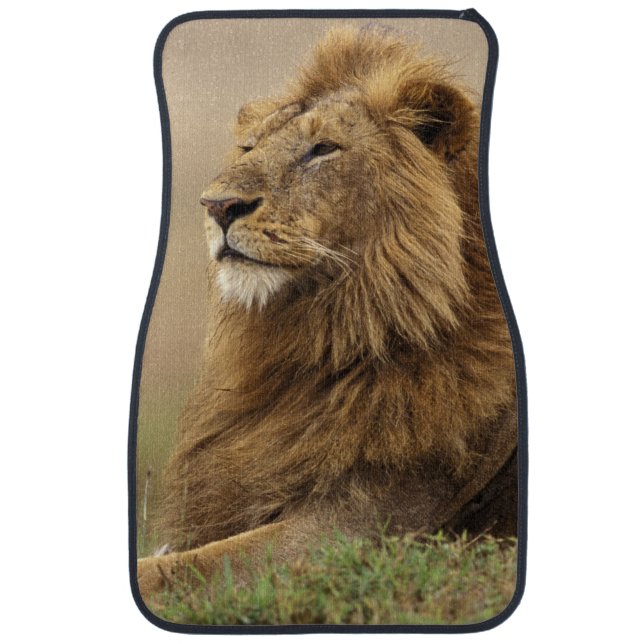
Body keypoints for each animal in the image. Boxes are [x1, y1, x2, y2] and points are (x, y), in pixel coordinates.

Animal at [137, 26, 517, 606]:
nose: (217, 205)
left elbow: (179, 570)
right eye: (249, 148)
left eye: (322, 150)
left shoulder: (354, 533)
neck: (323, 340)